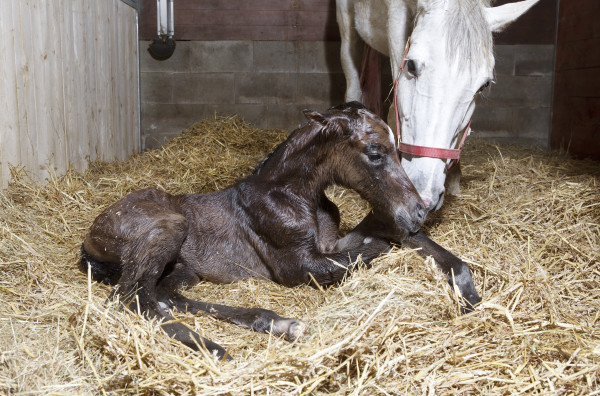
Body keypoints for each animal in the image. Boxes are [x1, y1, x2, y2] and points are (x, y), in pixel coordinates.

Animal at [81, 102, 482, 358]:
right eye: (374, 153)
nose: (418, 212)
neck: (292, 195)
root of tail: (89, 237)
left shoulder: (329, 243)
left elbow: (380, 238)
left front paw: (469, 295)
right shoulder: (298, 266)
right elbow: (368, 251)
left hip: (185, 270)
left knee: (163, 295)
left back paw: (275, 323)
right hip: (169, 227)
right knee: (129, 297)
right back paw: (216, 347)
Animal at [338, 0, 540, 210]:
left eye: (484, 85)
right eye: (411, 65)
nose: (425, 196)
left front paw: (454, 178)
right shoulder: (396, 20)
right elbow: (394, 114)